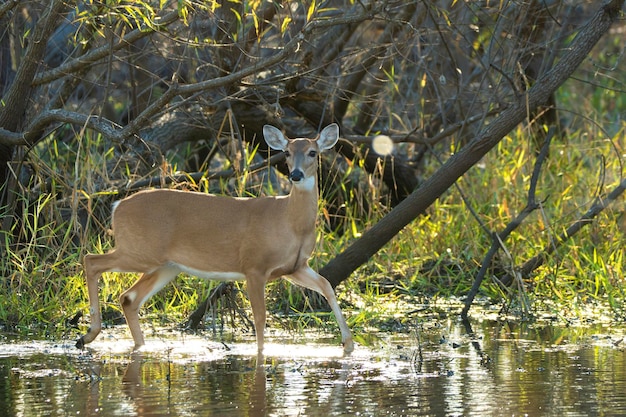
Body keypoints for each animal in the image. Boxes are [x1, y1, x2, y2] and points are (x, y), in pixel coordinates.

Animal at [74, 122, 352, 352]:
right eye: (286, 152)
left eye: (313, 152)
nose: (295, 175)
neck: (290, 223)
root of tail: (117, 206)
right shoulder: (254, 265)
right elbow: (260, 317)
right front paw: (261, 354)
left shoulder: (295, 267)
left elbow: (327, 285)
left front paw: (348, 343)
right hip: (139, 251)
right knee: (92, 260)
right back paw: (88, 334)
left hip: (166, 265)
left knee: (128, 298)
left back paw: (132, 344)